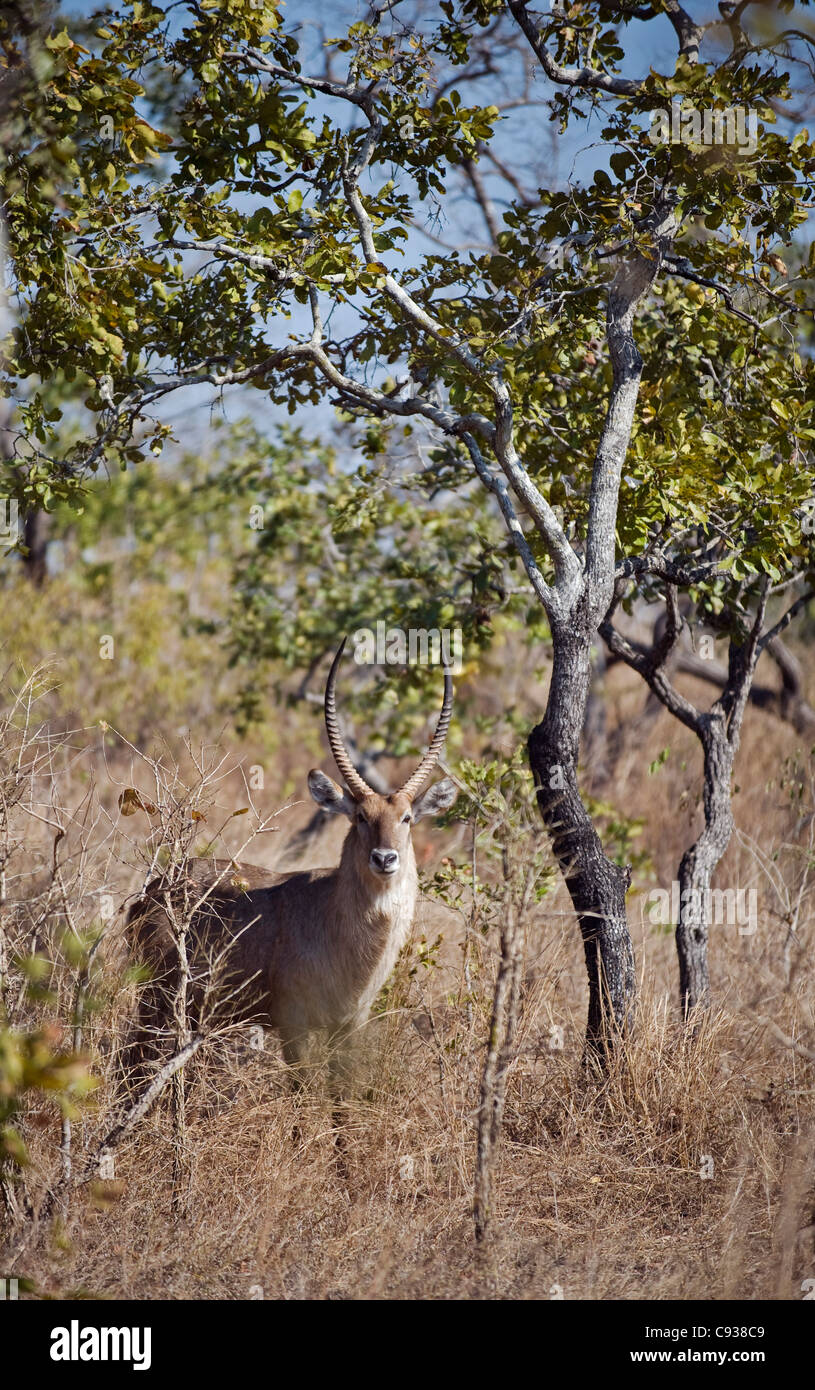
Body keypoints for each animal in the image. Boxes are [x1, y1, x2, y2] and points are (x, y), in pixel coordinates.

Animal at [126, 636, 456, 1084]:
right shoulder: (293, 1026)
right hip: (156, 1002)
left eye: (406, 818)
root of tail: (152, 892)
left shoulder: (349, 1026)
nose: (385, 858)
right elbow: (303, 1090)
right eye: (360, 816)